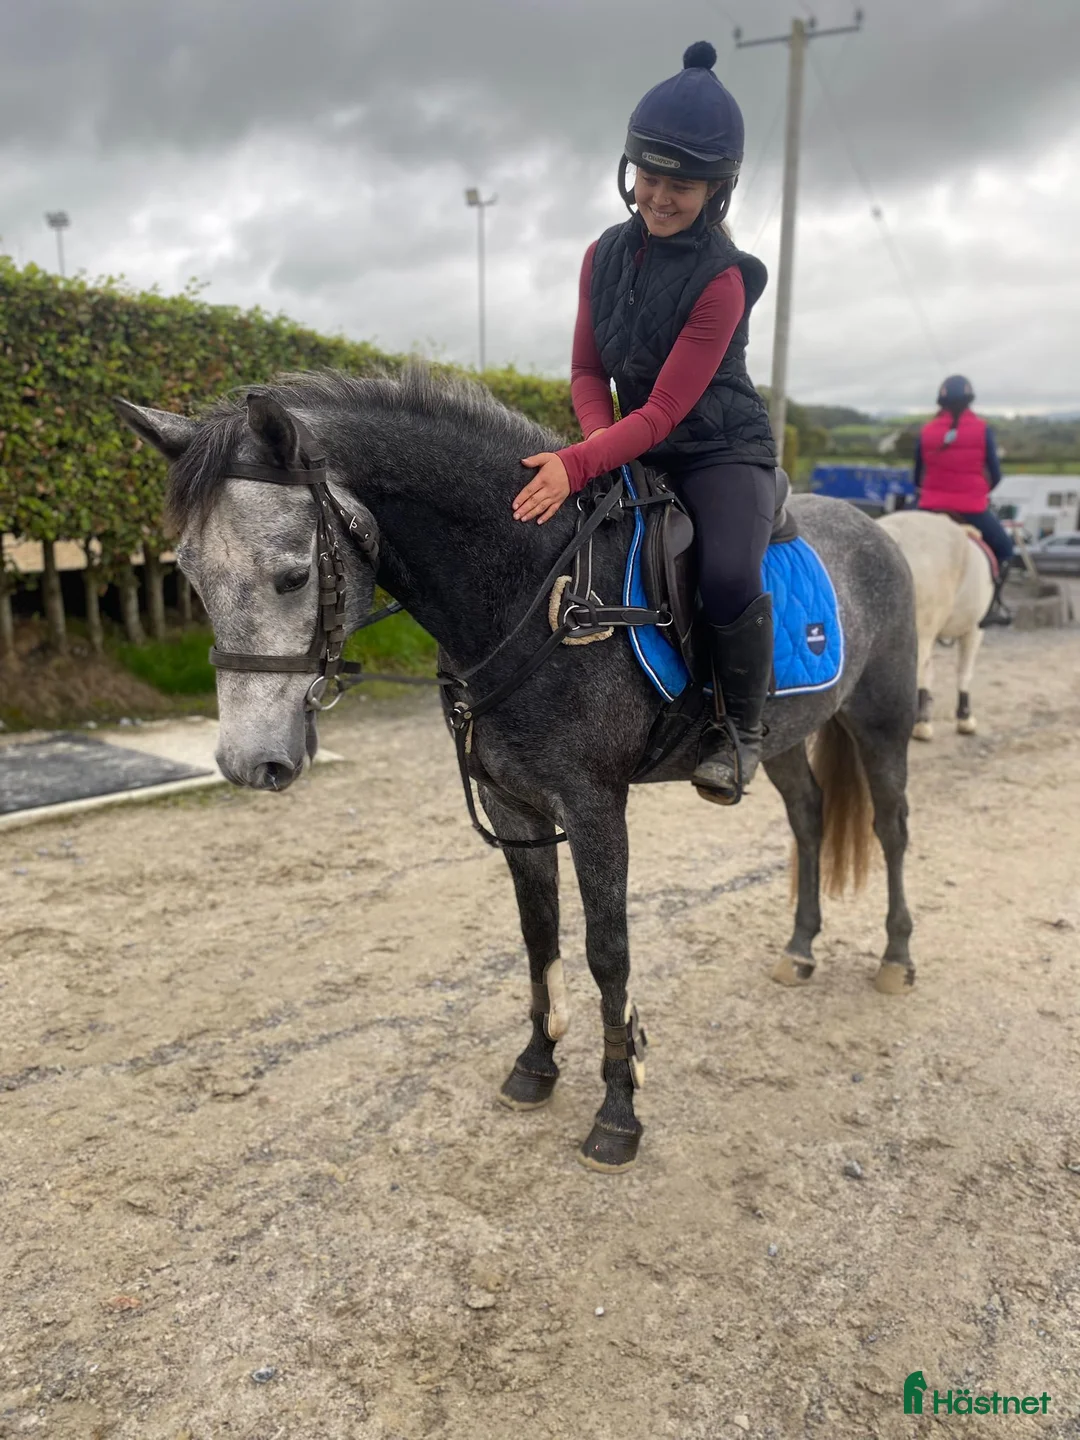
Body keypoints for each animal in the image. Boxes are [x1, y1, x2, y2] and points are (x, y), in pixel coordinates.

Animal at [115, 366, 918, 1174]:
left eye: (292, 577)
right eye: (188, 574)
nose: (248, 762)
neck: (542, 593)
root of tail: (879, 529)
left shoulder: (594, 808)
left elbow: (607, 951)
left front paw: (618, 1109)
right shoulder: (515, 806)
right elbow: (540, 934)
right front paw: (537, 1064)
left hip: (881, 721)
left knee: (890, 828)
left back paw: (896, 957)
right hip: (784, 739)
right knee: (810, 819)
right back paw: (801, 950)